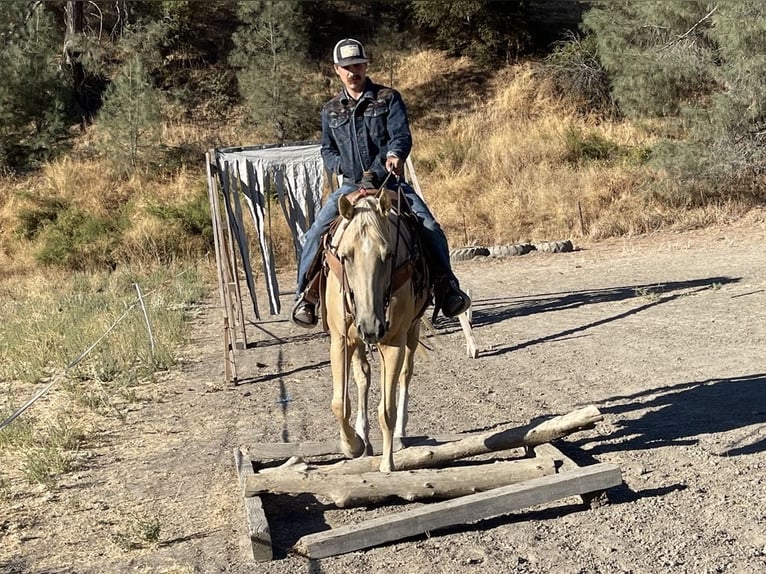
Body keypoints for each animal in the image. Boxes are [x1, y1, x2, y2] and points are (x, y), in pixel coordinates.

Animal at [320, 187, 430, 472]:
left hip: (411, 332)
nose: (371, 327)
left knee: (405, 375)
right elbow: (339, 404)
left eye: (388, 255)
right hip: (358, 340)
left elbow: (387, 410)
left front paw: (387, 464)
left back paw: (400, 434)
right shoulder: (340, 340)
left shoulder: (393, 343)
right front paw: (353, 445)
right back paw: (363, 435)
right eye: (345, 256)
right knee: (363, 377)